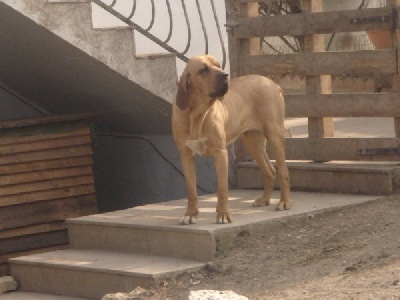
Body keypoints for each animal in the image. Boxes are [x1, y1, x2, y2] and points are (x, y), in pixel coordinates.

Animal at [172, 55, 290, 224]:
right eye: (203, 69)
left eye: (218, 65)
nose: (225, 75)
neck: (196, 115)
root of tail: (272, 83)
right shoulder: (186, 156)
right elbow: (191, 191)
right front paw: (190, 214)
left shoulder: (220, 154)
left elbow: (222, 190)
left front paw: (222, 215)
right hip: (252, 143)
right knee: (270, 171)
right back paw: (264, 200)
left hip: (274, 136)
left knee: (284, 171)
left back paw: (284, 202)